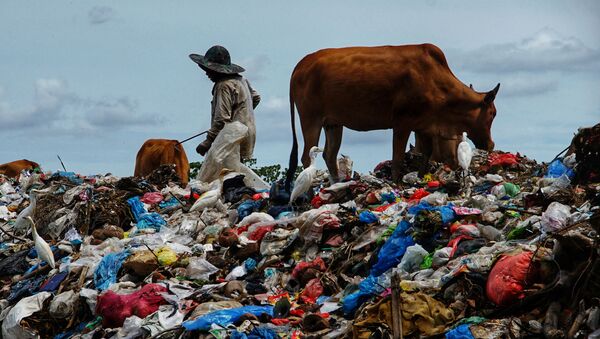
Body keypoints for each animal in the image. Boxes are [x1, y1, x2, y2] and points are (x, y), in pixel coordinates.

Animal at [286, 44, 496, 183]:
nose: (490, 144)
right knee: (306, 157)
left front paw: (421, 178)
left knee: (329, 155)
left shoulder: (424, 126)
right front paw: (396, 182)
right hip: (310, 119)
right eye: (492, 113)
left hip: (333, 123)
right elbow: (398, 158)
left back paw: (337, 184)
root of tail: (301, 64)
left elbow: (426, 153)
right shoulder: (402, 123)